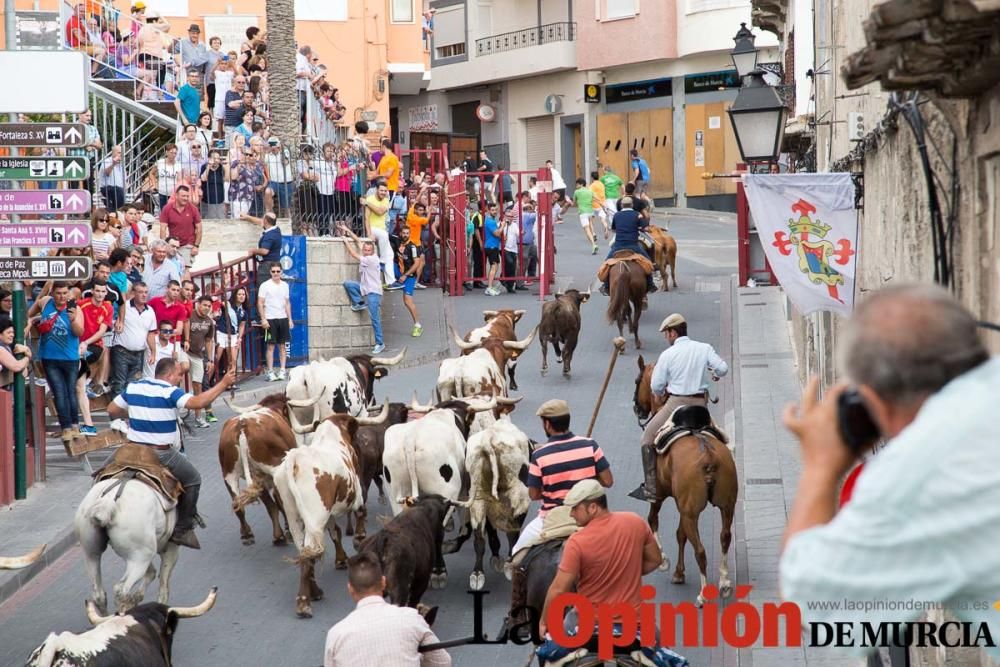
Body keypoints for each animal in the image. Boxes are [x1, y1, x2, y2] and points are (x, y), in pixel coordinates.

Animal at [74, 480, 180, 616]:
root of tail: (107, 503)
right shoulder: (170, 548)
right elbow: (163, 587)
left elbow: (152, 573)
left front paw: (134, 600)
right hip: (140, 558)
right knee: (121, 589)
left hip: (91, 553)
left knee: (99, 594)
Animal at [220, 394, 320, 544]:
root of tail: (242, 428)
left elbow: (270, 505)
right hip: (275, 469)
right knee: (279, 497)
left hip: (229, 475)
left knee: (238, 503)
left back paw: (248, 534)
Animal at [274, 412, 386, 620]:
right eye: (355, 434)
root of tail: (295, 459)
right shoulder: (357, 495)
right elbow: (361, 512)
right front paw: (359, 539)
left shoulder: (330, 512)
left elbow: (336, 532)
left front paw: (341, 559)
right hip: (315, 517)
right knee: (309, 553)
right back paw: (304, 602)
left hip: (295, 519)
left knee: (305, 552)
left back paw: (314, 592)